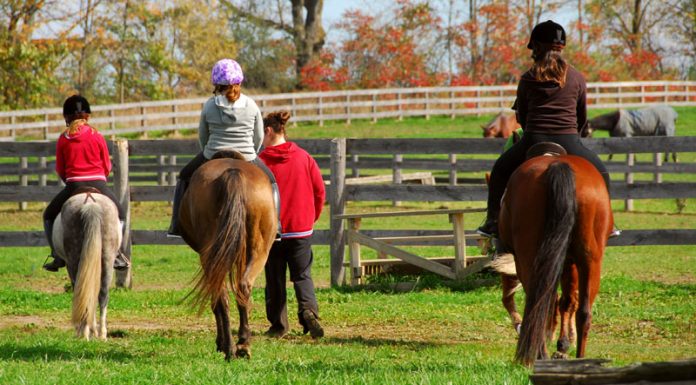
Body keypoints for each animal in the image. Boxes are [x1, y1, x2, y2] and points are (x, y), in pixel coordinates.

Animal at [53, 188, 121, 340]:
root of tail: (90, 203)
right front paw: (93, 330)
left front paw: (88, 329)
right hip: (107, 259)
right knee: (102, 294)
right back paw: (102, 334)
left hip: (73, 261)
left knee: (80, 291)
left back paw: (83, 333)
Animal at [179, 151, 278, 360]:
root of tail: (233, 172)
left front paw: (220, 343)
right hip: (259, 250)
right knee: (243, 287)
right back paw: (242, 344)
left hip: (211, 256)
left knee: (221, 294)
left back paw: (229, 348)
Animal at [498, 145, 612, 366]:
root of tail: (558, 164)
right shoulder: (570, 263)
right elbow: (566, 301)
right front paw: (562, 346)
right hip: (590, 260)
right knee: (583, 311)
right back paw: (579, 359)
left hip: (530, 259)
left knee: (541, 303)